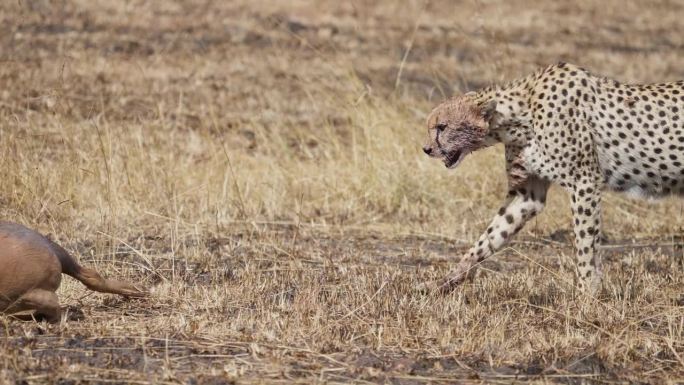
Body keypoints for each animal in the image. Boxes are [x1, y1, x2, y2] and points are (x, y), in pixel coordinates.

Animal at [422, 61, 684, 292]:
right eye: (432, 127)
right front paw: (446, 281)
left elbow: (585, 246)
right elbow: (490, 236)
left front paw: (586, 297)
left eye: (442, 127)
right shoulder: (528, 195)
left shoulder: (584, 183)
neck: (520, 114)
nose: (426, 149)